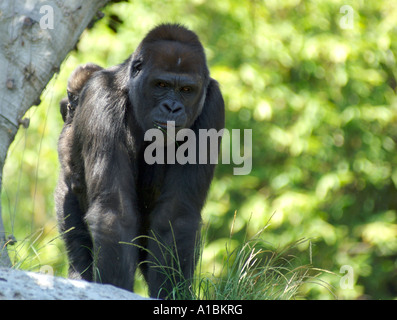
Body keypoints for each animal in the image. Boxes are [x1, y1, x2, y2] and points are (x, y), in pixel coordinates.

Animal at [54, 23, 224, 298]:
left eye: (186, 90)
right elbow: (114, 211)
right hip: (65, 190)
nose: (172, 108)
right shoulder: (101, 97)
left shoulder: (213, 104)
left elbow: (175, 216)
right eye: (161, 85)